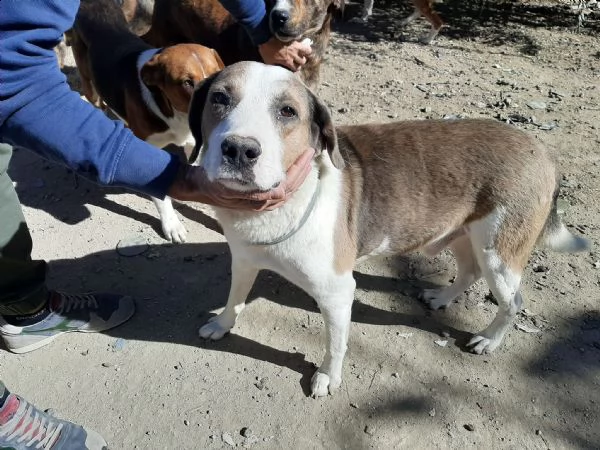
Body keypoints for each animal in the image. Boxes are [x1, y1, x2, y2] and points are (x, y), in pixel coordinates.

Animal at [189, 60, 592, 398]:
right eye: (220, 98)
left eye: (288, 111)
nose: (239, 149)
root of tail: (543, 152)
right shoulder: (244, 261)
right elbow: (235, 298)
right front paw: (223, 324)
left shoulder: (336, 291)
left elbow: (335, 344)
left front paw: (328, 376)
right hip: (463, 235)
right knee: (469, 271)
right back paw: (443, 298)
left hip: (499, 253)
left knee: (513, 301)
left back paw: (489, 340)